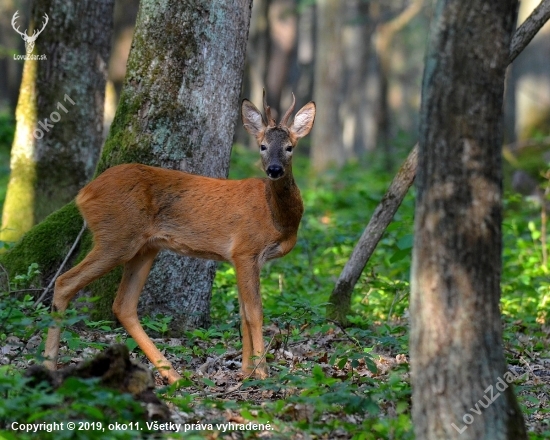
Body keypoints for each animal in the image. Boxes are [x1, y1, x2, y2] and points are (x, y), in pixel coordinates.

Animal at [44, 93, 316, 384]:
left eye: (289, 147)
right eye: (263, 146)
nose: (274, 169)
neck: (277, 217)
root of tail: (83, 194)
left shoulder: (240, 258)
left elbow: (243, 312)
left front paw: (245, 370)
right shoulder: (246, 249)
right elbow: (255, 313)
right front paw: (262, 372)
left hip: (145, 247)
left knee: (123, 305)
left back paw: (172, 375)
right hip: (116, 238)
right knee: (65, 282)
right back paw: (49, 364)